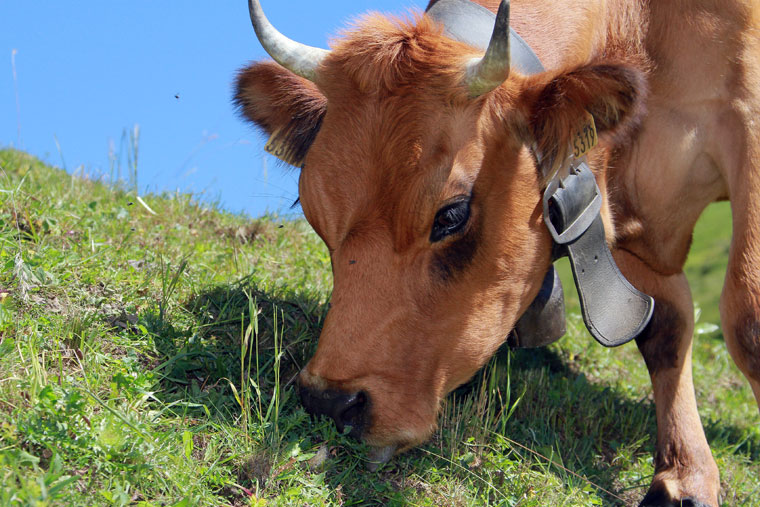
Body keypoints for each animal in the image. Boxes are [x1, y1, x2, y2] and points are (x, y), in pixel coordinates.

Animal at [236, 0, 760, 504]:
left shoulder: (746, 119)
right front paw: (687, 477)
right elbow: (665, 325)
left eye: (451, 214)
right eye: (312, 211)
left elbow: (746, 317)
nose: (330, 403)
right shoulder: (637, 222)